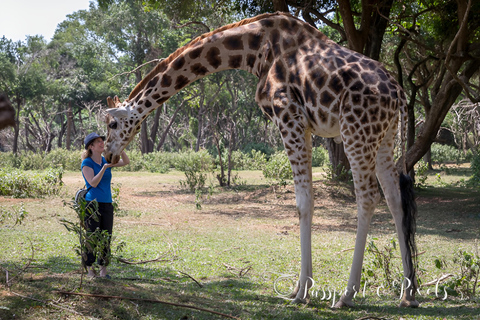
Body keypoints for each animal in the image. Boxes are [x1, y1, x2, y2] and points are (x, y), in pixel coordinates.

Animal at [103, 12, 418, 308]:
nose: (107, 154)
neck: (255, 49)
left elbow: (303, 201)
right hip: (384, 137)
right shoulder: (303, 126)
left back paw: (347, 295)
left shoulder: (289, 117)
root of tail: (399, 93)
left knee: (368, 196)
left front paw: (302, 292)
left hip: (356, 131)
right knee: (394, 198)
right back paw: (409, 294)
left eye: (112, 124)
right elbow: (308, 200)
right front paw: (299, 287)